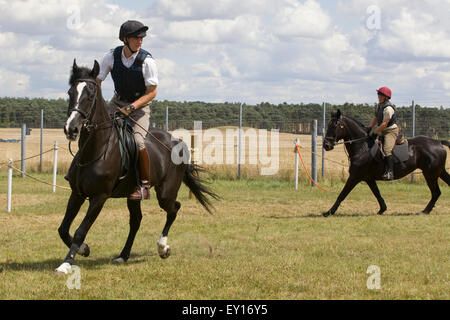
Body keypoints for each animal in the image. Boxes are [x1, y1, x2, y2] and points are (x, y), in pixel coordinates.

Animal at [55, 60, 220, 276]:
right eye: (70, 92)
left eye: (90, 95)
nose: (71, 129)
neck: (95, 150)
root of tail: (177, 141)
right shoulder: (77, 193)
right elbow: (63, 228)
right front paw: (84, 249)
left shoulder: (99, 197)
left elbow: (80, 230)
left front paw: (66, 264)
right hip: (132, 194)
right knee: (136, 221)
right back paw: (123, 255)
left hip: (166, 192)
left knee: (173, 209)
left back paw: (163, 248)